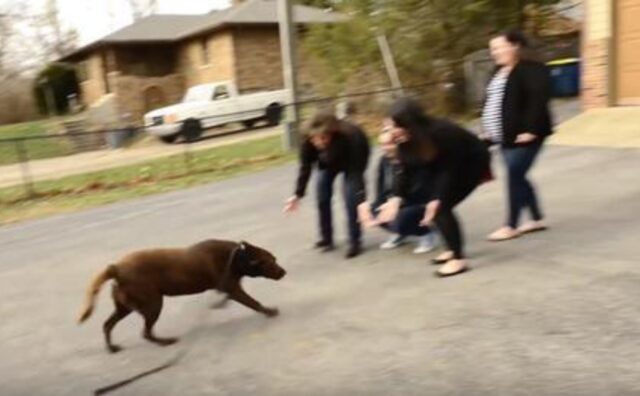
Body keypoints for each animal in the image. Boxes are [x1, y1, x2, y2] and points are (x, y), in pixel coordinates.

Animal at [77, 238, 284, 352]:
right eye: (272, 261)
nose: (284, 272)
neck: (237, 257)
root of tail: (116, 268)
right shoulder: (233, 290)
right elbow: (254, 302)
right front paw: (270, 311)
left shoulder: (230, 288)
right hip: (153, 303)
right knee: (145, 332)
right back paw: (165, 342)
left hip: (124, 307)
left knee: (107, 325)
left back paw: (112, 348)